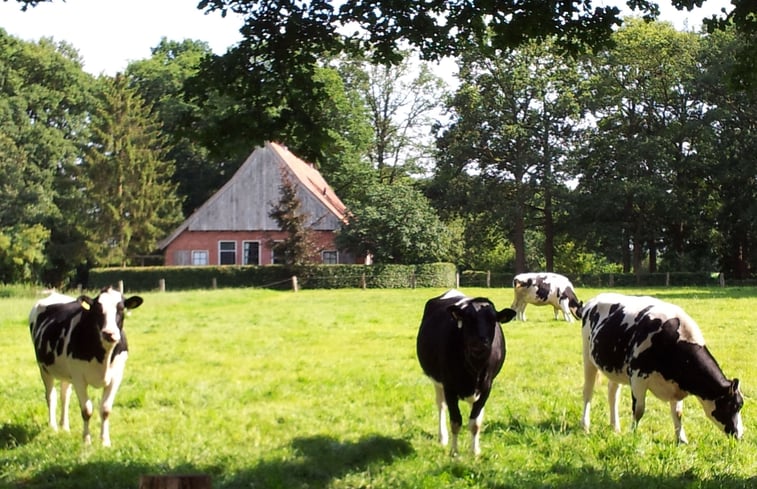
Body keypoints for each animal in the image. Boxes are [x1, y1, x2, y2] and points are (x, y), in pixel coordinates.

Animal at [27, 286, 143, 446]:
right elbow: (86, 410)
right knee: (51, 396)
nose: (109, 333)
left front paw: (105, 441)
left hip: (66, 373)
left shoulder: (116, 377)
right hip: (44, 368)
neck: (103, 358)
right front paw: (87, 441)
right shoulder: (79, 378)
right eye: (97, 310)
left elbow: (105, 409)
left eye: (121, 309)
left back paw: (65, 426)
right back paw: (53, 426)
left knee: (64, 396)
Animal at [416, 288, 516, 456]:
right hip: (437, 381)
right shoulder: (449, 386)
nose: (479, 341)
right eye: (467, 319)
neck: (474, 369)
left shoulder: (487, 387)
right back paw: (442, 437)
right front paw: (455, 453)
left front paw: (474, 451)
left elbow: (475, 422)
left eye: (493, 320)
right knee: (441, 405)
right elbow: (456, 421)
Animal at [580, 292, 740, 444]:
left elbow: (678, 413)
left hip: (615, 368)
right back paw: (585, 426)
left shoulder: (676, 384)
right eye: (734, 406)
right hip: (588, 358)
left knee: (612, 393)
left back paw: (615, 427)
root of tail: (592, 301)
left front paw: (681, 439)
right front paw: (633, 435)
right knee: (588, 392)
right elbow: (638, 410)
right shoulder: (638, 377)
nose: (739, 435)